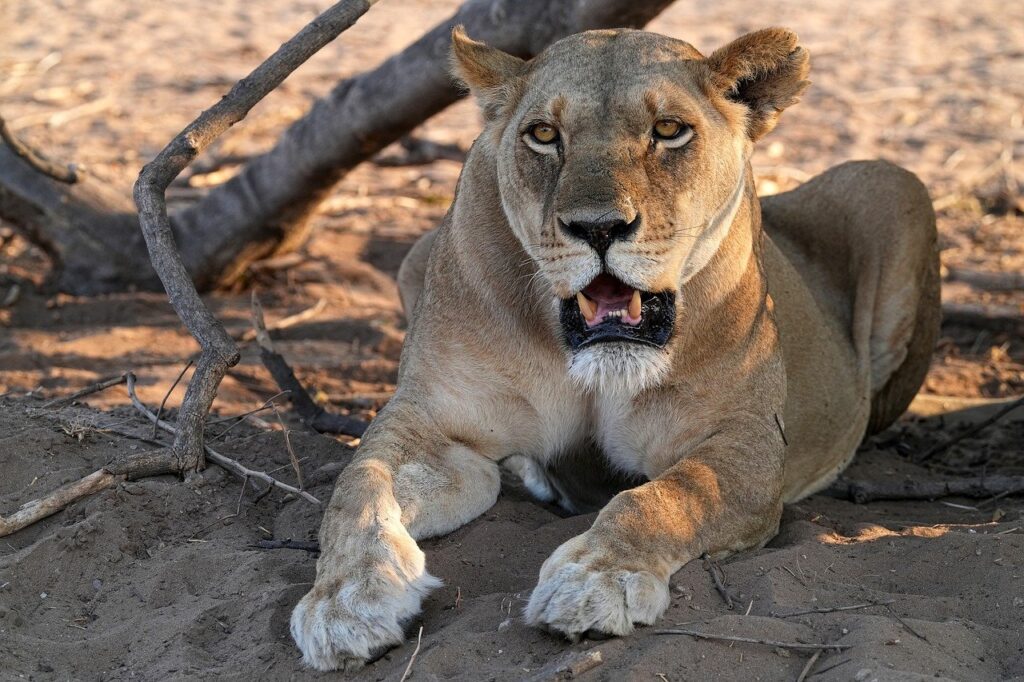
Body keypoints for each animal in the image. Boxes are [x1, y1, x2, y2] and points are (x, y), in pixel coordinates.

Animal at [290, 26, 939, 670]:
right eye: (544, 135)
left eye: (669, 129)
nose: (598, 228)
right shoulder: (433, 418)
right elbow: (360, 484)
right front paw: (346, 599)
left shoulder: (748, 444)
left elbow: (668, 496)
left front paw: (596, 579)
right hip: (415, 251)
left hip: (895, 183)